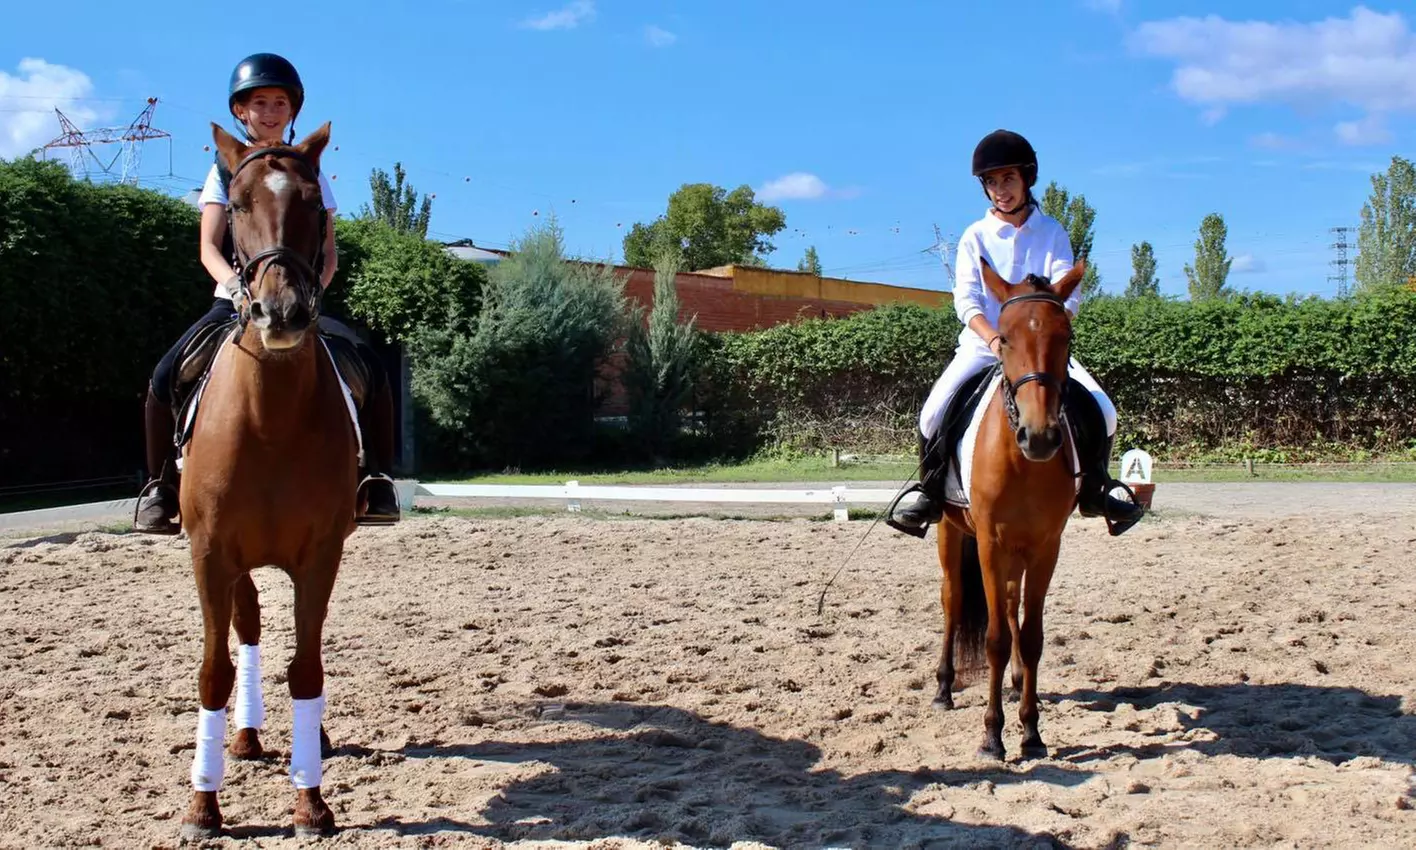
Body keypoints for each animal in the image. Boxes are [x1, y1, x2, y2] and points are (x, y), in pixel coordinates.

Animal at [932, 257, 1088, 762]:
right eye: (1004, 337)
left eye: (1066, 336)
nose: (1039, 437)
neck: (1022, 462)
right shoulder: (988, 542)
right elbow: (996, 638)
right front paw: (992, 734)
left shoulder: (1045, 547)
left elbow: (1032, 634)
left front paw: (1031, 730)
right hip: (951, 532)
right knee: (953, 599)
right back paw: (943, 688)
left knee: (1009, 601)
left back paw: (1019, 682)